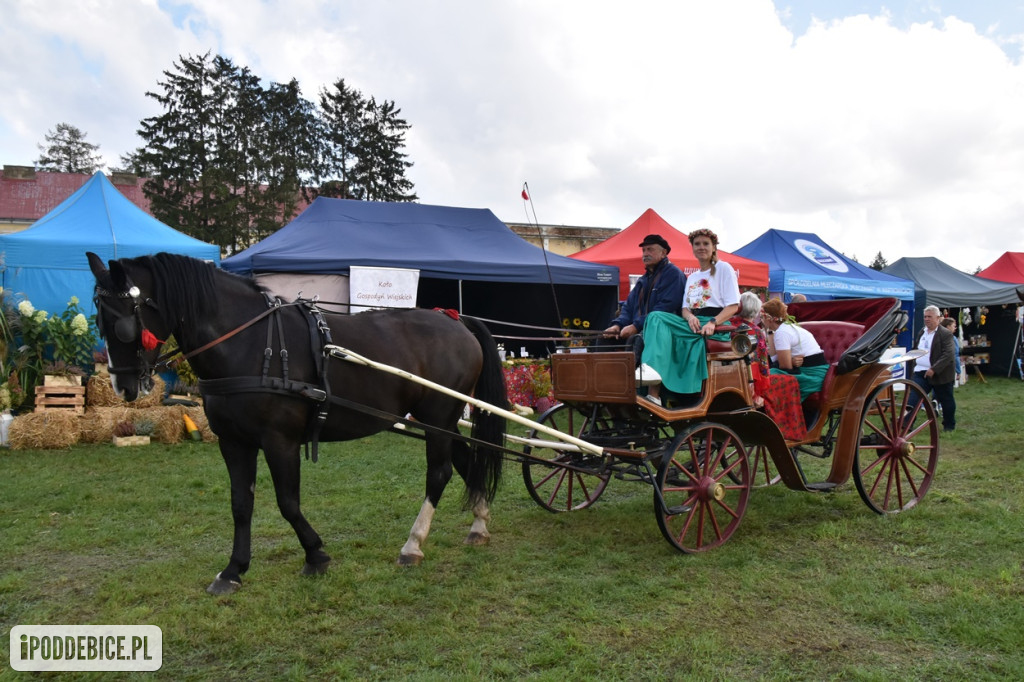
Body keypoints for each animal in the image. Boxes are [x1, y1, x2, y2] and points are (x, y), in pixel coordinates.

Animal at [88, 250, 507, 593]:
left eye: (125, 322)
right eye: (99, 319)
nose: (122, 386)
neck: (250, 343)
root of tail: (455, 320)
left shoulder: (280, 440)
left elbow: (288, 502)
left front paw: (315, 555)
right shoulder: (233, 441)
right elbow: (241, 504)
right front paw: (233, 571)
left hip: (439, 414)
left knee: (439, 473)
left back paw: (413, 544)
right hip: (443, 420)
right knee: (465, 461)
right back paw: (479, 523)